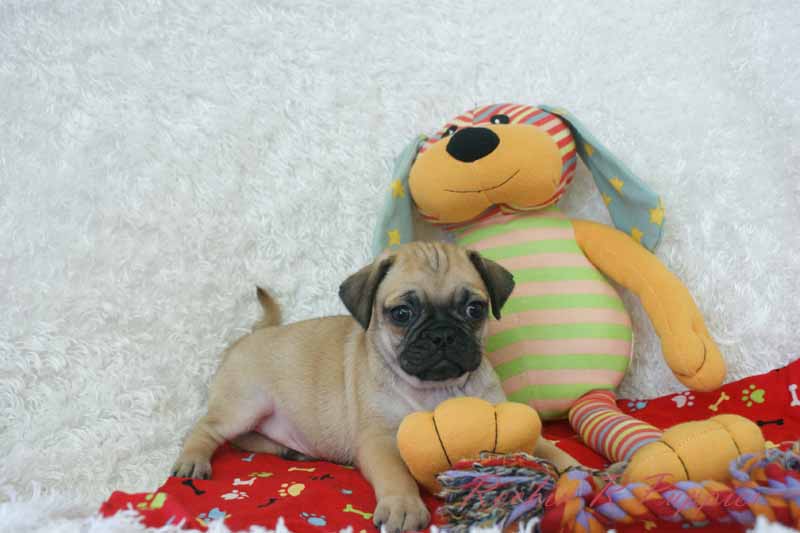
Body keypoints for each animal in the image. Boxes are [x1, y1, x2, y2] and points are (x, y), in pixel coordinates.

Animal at [172, 241, 577, 531]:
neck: (440, 390)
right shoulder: (379, 441)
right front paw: (403, 506)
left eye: (474, 310)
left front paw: (575, 469)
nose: (443, 335)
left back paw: (288, 450)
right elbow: (396, 473)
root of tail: (254, 334)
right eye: (402, 314)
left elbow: (545, 444)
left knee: (247, 437)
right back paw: (193, 460)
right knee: (207, 429)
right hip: (244, 404)